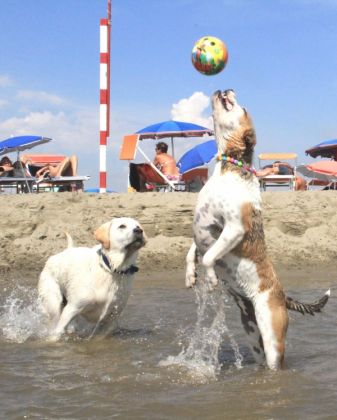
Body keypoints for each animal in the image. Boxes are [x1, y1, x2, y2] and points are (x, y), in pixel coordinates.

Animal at [184, 88, 328, 368]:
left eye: (243, 109)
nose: (226, 89)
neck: (229, 169)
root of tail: (283, 296)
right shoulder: (203, 227)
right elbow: (192, 251)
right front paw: (190, 274)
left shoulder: (234, 229)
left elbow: (208, 256)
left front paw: (210, 278)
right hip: (253, 337)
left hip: (272, 339)